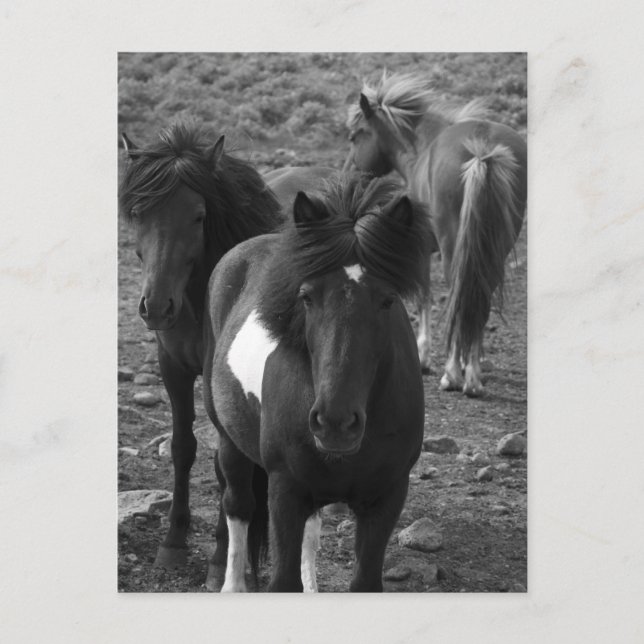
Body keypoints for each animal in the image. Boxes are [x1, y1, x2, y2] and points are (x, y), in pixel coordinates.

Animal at [119, 123, 283, 569]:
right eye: (138, 213)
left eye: (198, 216)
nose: (157, 307)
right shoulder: (172, 367)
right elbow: (182, 447)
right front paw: (174, 540)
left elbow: (225, 467)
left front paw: (221, 556)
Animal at [202, 174, 431, 592]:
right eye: (306, 297)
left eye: (387, 300)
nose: (335, 422)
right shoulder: (285, 492)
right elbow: (282, 579)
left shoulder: (387, 497)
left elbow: (363, 580)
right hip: (230, 442)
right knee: (238, 508)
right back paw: (231, 585)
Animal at [345, 72, 527, 397]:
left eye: (355, 135)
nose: (348, 175)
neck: (421, 150)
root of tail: (482, 149)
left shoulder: (422, 248)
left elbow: (424, 297)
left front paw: (423, 356)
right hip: (494, 248)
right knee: (478, 296)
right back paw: (473, 376)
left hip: (453, 246)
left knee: (457, 294)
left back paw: (453, 374)